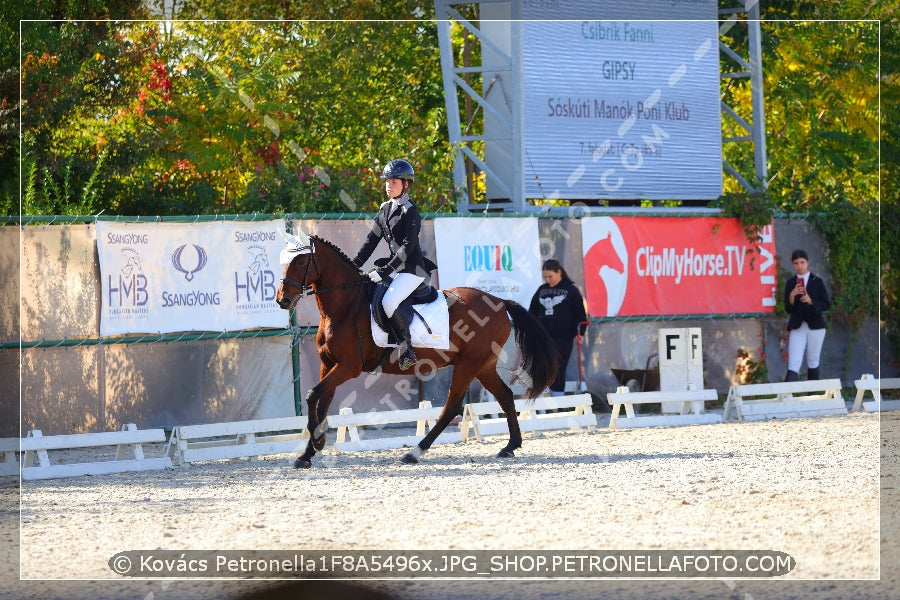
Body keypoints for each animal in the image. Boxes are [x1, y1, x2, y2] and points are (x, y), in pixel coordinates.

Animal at [274, 230, 556, 468]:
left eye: (301, 261)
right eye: (284, 262)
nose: (282, 300)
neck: (343, 307)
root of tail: (499, 301)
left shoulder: (348, 367)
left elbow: (312, 394)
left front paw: (317, 444)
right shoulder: (328, 365)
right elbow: (321, 404)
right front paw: (307, 454)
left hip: (469, 364)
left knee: (452, 407)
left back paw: (414, 452)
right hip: (483, 365)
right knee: (505, 396)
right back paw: (510, 446)